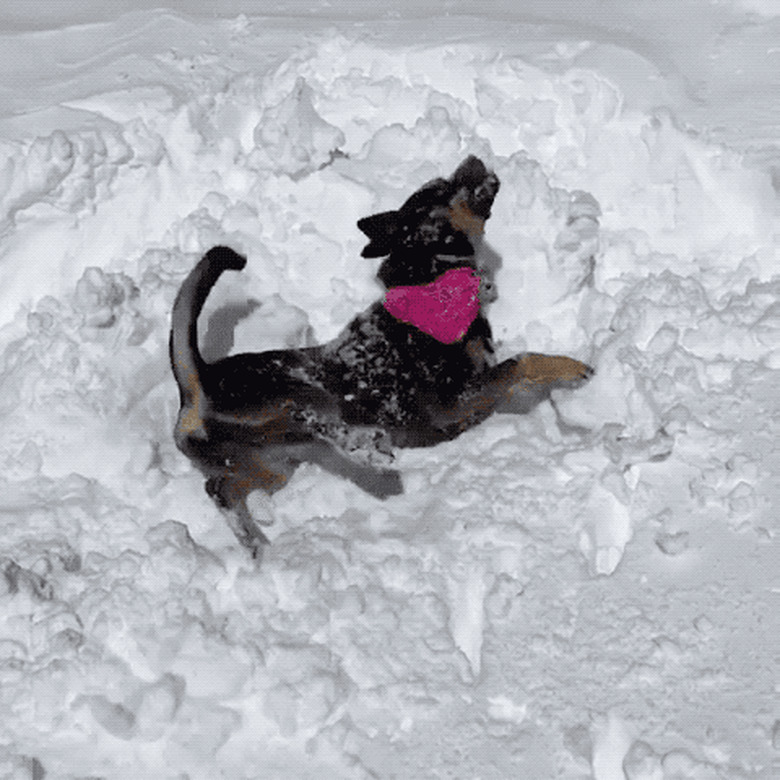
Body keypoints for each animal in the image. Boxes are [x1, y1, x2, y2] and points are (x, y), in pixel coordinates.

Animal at [171, 155, 592, 556]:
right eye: (439, 190)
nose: (472, 157)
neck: (433, 278)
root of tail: (196, 385)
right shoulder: (449, 403)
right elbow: (521, 361)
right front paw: (572, 368)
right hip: (302, 391)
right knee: (312, 419)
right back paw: (367, 450)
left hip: (271, 464)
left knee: (221, 490)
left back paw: (258, 544)